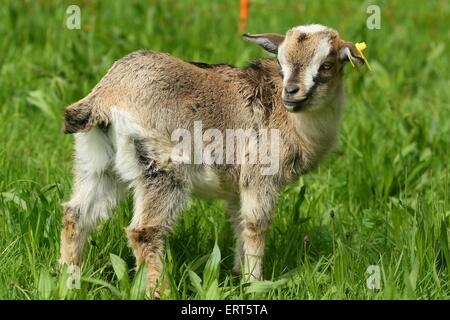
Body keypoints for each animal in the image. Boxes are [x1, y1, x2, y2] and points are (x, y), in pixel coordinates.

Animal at [59, 23, 366, 296]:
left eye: (326, 65)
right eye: (281, 62)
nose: (291, 93)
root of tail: (106, 96)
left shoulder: (237, 186)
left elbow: (239, 224)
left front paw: (240, 278)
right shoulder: (260, 176)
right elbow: (255, 224)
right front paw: (255, 284)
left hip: (98, 163)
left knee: (75, 213)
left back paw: (67, 278)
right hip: (162, 168)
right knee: (144, 232)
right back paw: (161, 291)